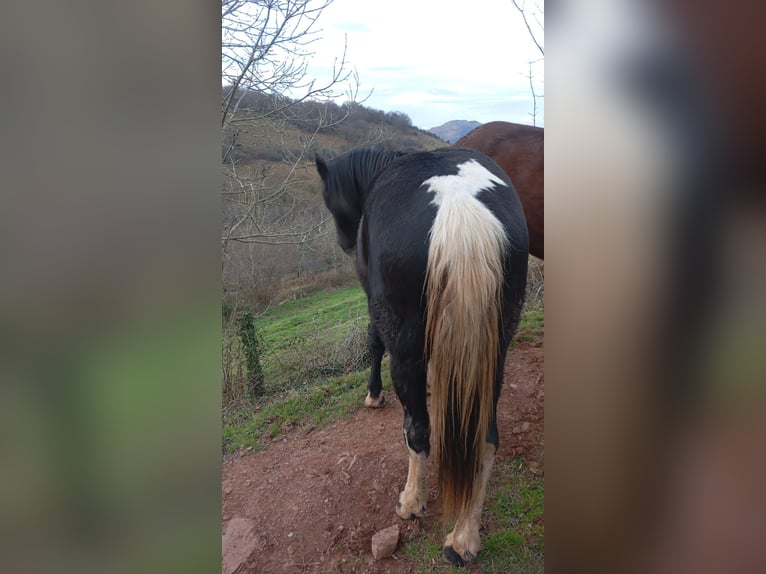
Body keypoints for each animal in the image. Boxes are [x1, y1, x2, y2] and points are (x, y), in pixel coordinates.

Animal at [316, 147, 528, 565]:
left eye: (329, 197)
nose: (345, 242)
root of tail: (459, 210)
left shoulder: (378, 310)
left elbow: (373, 343)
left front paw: (373, 394)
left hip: (406, 349)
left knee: (418, 430)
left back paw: (412, 502)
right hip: (494, 350)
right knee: (486, 438)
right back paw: (463, 538)